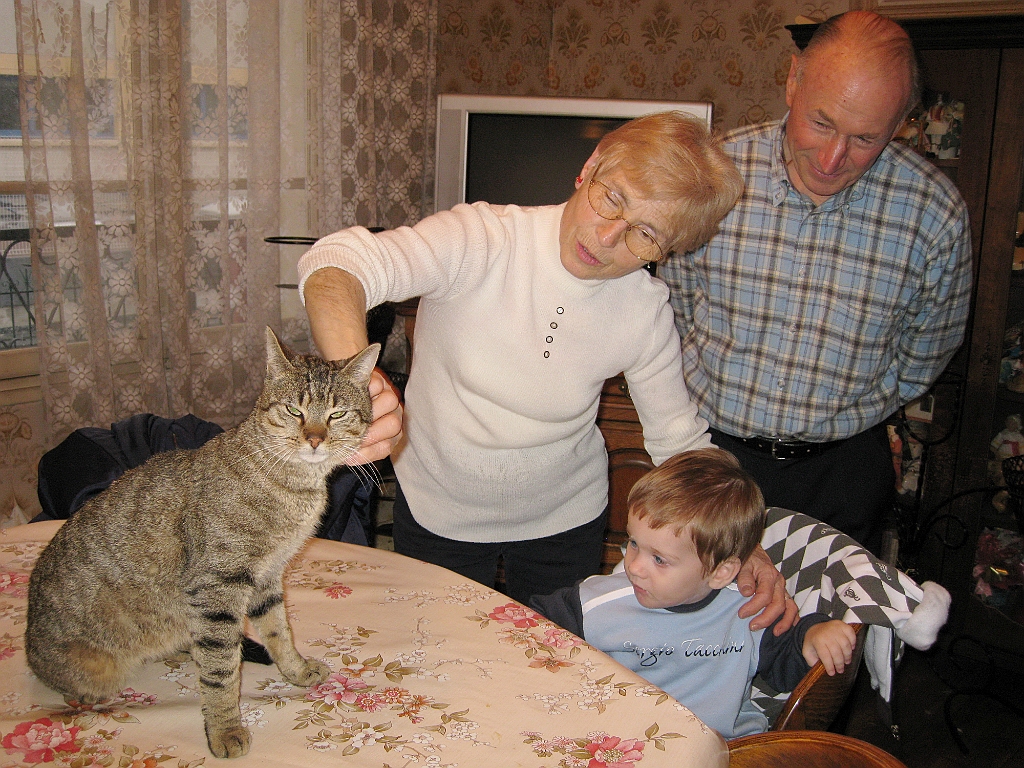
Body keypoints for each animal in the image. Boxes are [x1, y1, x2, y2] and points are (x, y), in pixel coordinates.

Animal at [26, 327, 380, 759]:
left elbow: (279, 631)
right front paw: (225, 729)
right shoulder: (217, 586)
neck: (291, 484)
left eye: (336, 414)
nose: (314, 439)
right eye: (294, 411)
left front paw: (295, 669)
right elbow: (220, 672)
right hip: (96, 669)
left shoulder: (266, 578)